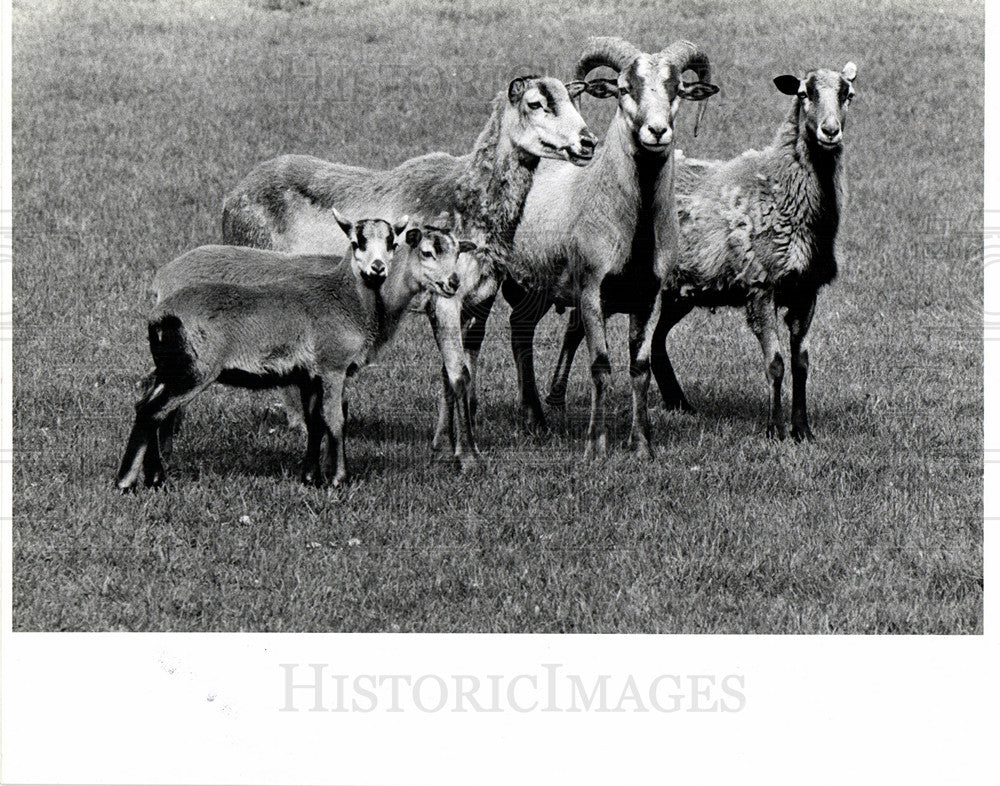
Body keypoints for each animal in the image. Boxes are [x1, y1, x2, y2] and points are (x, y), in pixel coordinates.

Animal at [115, 216, 474, 490]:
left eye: (458, 251)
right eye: (427, 252)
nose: (453, 283)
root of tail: (159, 308)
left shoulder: (309, 373)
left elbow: (316, 421)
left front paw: (310, 476)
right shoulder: (333, 367)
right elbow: (335, 418)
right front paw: (337, 479)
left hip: (173, 366)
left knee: (146, 403)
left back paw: (151, 475)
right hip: (194, 369)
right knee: (154, 411)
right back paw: (131, 481)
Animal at [221, 76, 592, 472]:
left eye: (573, 99)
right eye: (536, 103)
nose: (588, 142)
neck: (472, 207)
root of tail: (229, 202)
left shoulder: (479, 298)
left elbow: (454, 373)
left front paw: (442, 444)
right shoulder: (445, 297)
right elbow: (459, 374)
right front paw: (467, 456)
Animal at [500, 36, 720, 456]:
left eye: (677, 89)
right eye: (623, 88)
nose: (657, 131)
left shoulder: (647, 299)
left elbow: (640, 368)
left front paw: (642, 445)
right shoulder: (590, 293)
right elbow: (601, 366)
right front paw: (596, 446)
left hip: (539, 288)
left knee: (520, 326)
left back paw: (534, 418)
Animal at [544, 61, 856, 440]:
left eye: (847, 94)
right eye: (804, 93)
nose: (830, 131)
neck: (781, 189)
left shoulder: (806, 291)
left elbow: (801, 364)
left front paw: (803, 431)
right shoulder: (761, 286)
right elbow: (776, 363)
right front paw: (776, 430)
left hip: (678, 290)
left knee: (657, 341)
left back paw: (679, 403)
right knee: (576, 326)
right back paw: (555, 397)